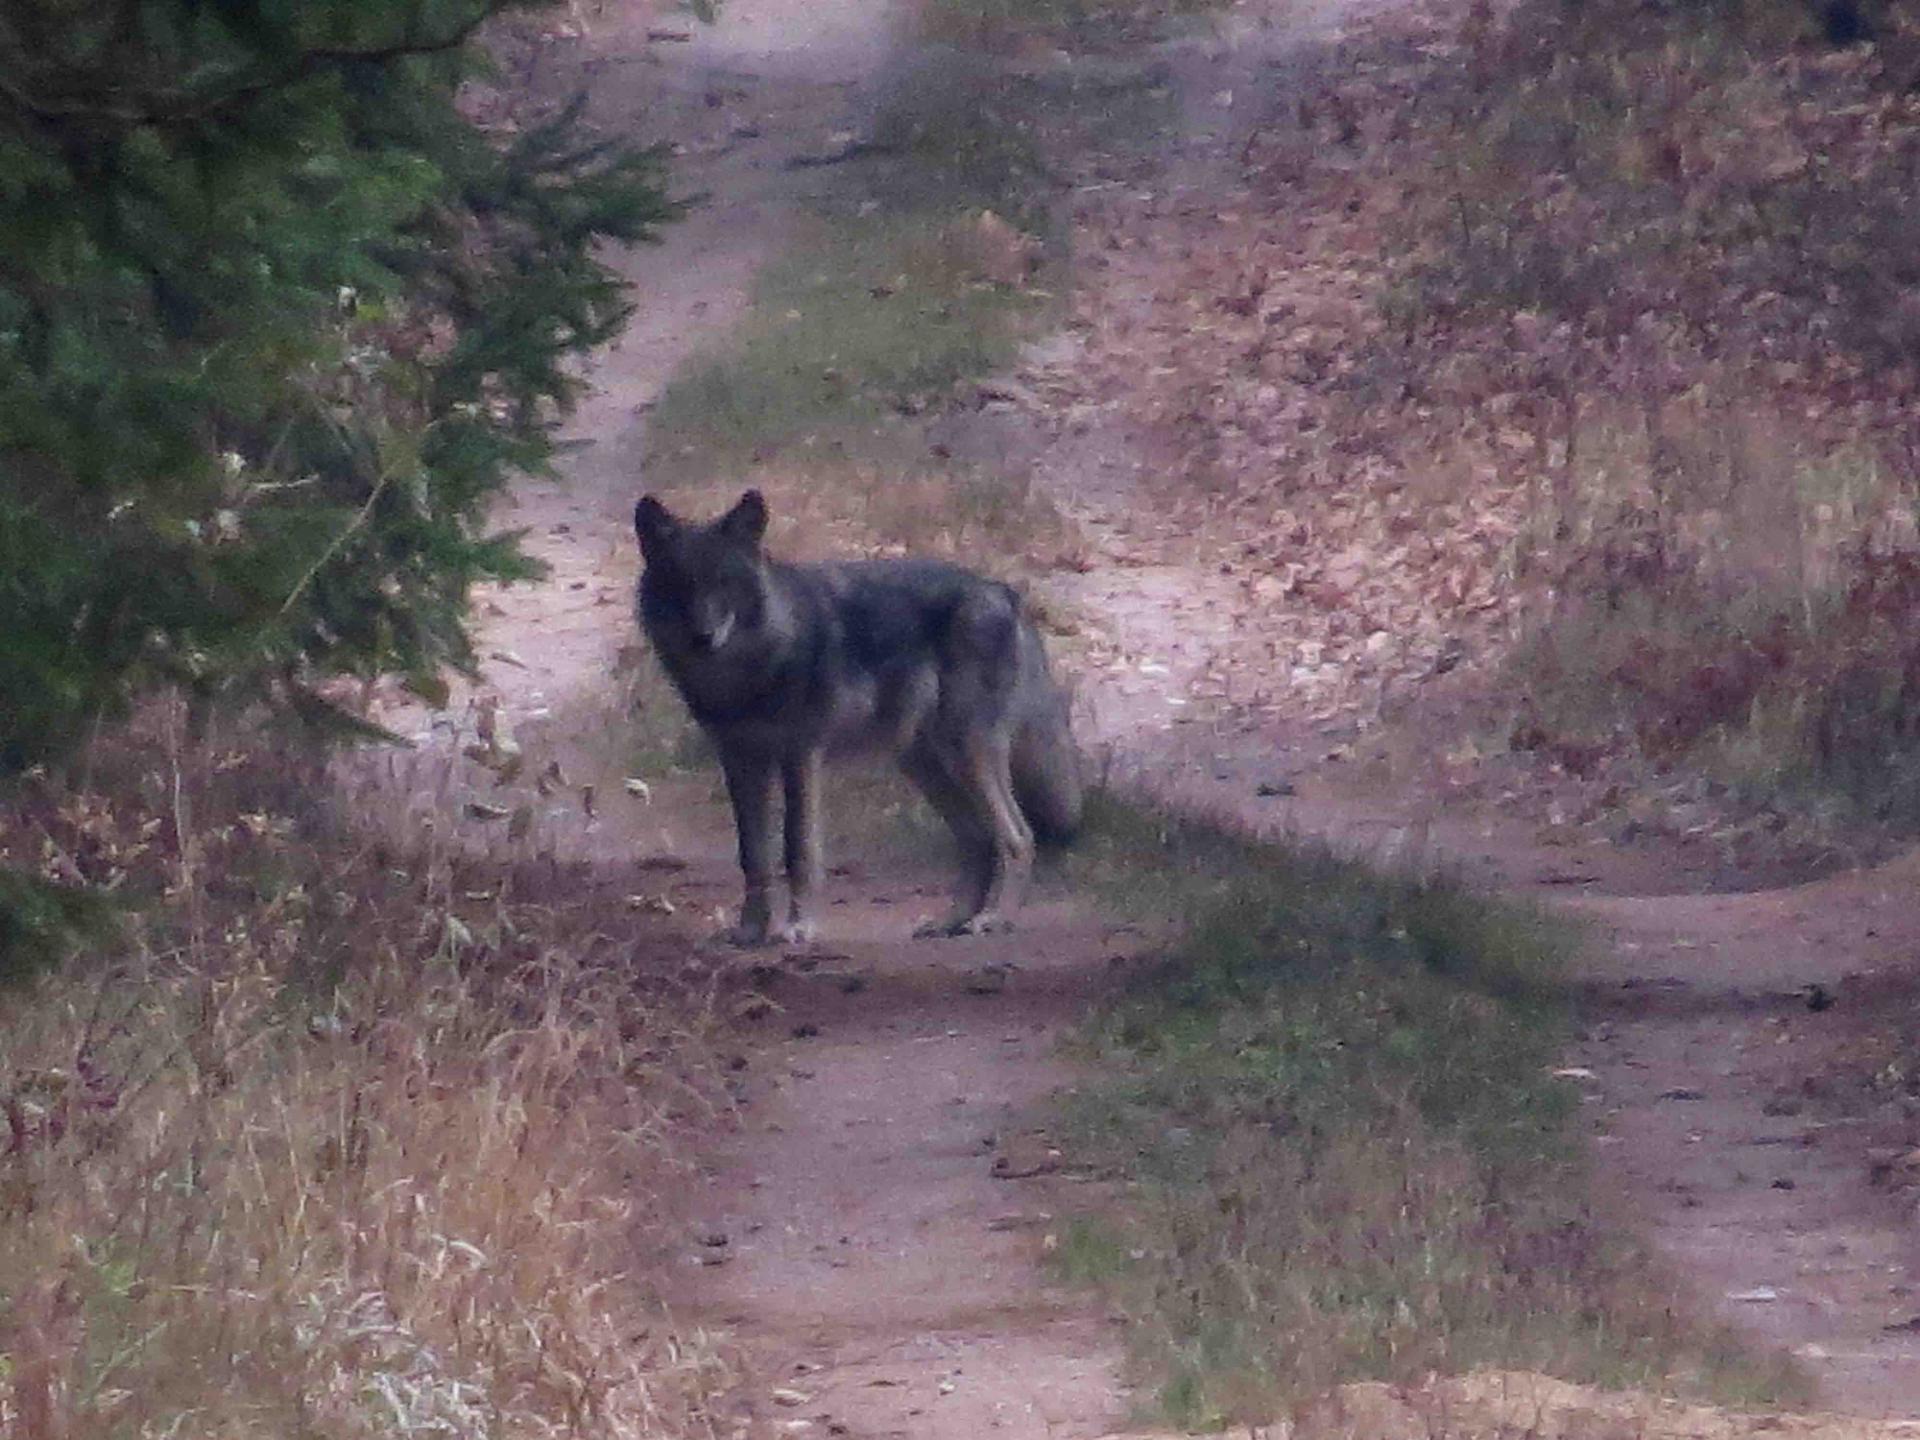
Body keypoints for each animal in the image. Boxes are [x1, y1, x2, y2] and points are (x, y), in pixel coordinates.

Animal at [633, 491, 1075, 952]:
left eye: (724, 583)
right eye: (680, 584)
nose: (702, 638)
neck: (750, 672)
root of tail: (1002, 591)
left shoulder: (800, 756)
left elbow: (798, 848)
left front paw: (799, 927)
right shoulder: (740, 763)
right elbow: (752, 856)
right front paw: (751, 930)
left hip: (966, 756)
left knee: (1019, 837)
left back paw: (995, 919)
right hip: (925, 768)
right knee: (979, 841)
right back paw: (950, 922)